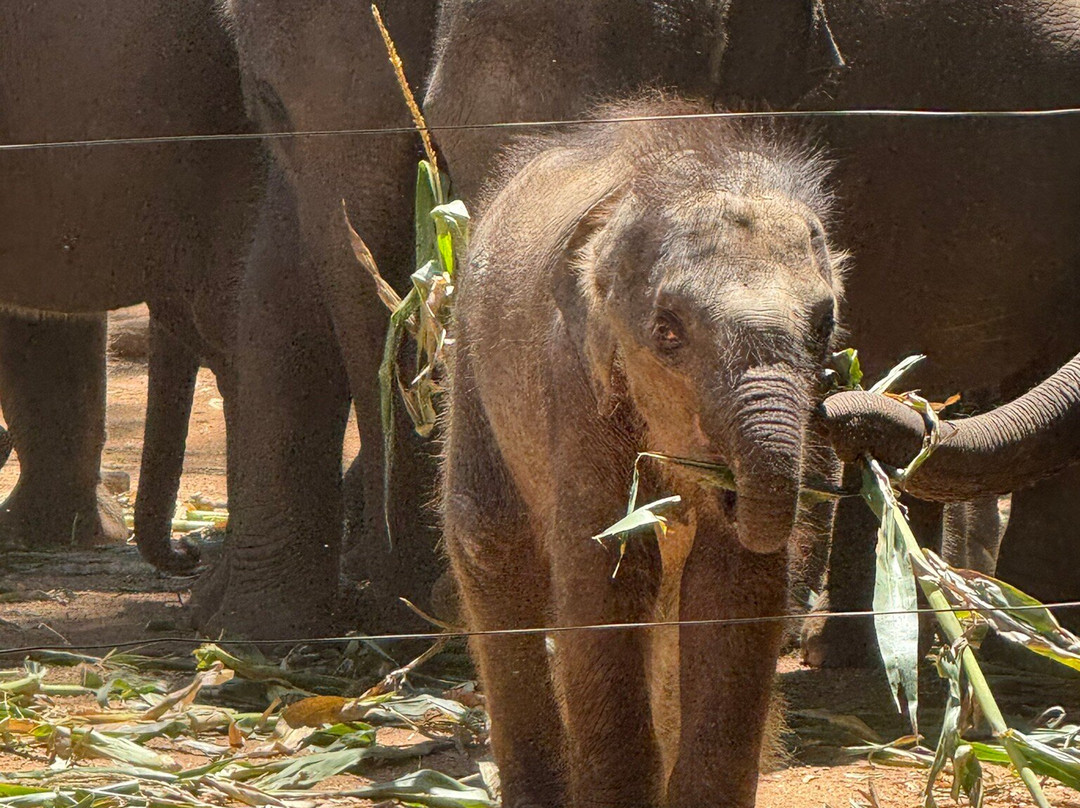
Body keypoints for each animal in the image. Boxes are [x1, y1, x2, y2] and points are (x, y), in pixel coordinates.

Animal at [442, 97, 847, 808]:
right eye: (667, 332)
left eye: (824, 327)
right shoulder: (576, 385)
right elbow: (610, 570)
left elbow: (732, 585)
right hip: (472, 361)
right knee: (489, 541)